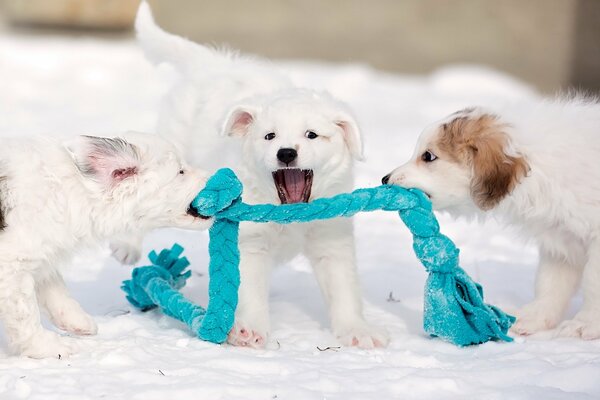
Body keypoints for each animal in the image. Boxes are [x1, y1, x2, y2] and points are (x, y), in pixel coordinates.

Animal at [0, 133, 211, 358]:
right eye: (181, 171)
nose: (219, 174)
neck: (68, 193)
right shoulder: (12, 265)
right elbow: (25, 313)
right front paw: (49, 347)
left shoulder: (42, 253)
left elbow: (54, 289)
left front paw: (78, 321)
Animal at [137, 2, 390, 346]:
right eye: (269, 136)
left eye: (312, 135)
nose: (286, 153)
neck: (289, 214)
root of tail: (213, 65)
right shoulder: (250, 242)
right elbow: (251, 289)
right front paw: (249, 329)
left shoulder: (331, 238)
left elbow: (343, 289)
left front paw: (358, 332)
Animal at [382, 98, 600, 340]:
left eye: (428, 156)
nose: (384, 179)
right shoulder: (559, 241)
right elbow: (550, 283)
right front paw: (532, 317)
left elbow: (592, 282)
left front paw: (585, 324)